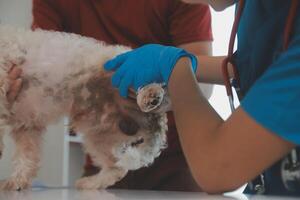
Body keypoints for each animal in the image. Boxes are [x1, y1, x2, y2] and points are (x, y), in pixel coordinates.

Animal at [0, 26, 169, 191]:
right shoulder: (26, 125)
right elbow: (26, 157)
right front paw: (17, 181)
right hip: (98, 135)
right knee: (117, 168)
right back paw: (90, 184)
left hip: (123, 66)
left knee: (149, 80)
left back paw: (150, 95)